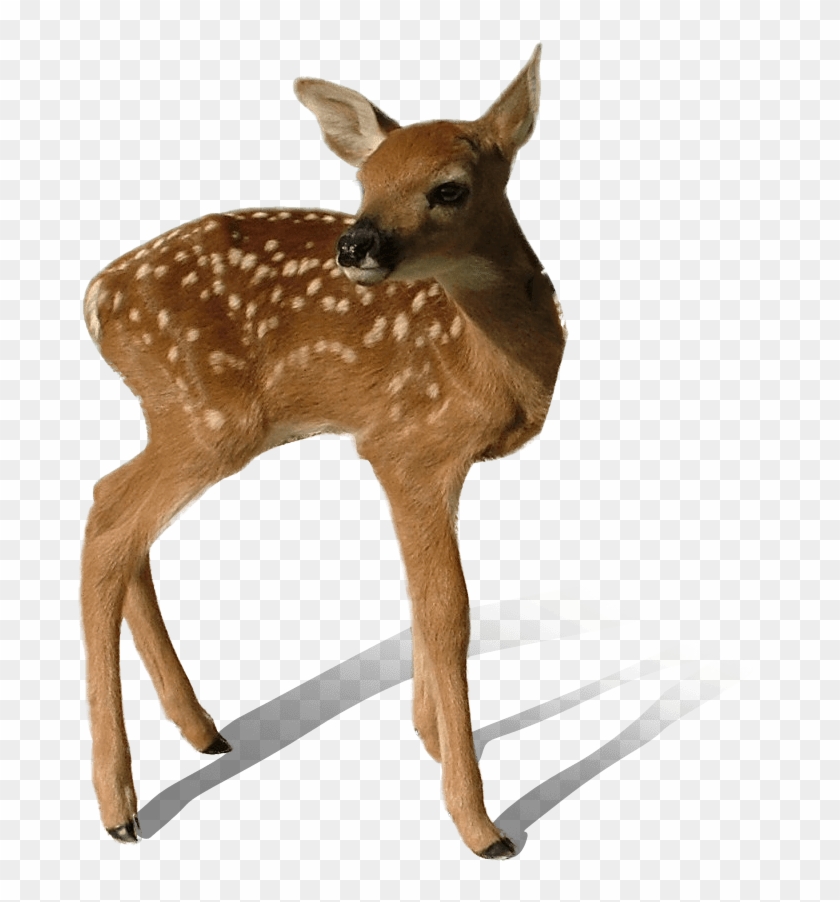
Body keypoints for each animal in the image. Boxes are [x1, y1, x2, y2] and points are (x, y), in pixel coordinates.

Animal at [80, 44, 566, 860]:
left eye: (448, 187)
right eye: (363, 184)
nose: (356, 244)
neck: (488, 357)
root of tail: (96, 298)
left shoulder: (422, 459)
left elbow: (423, 599)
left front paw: (428, 739)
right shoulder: (407, 446)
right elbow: (449, 611)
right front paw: (479, 824)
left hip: (180, 417)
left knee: (114, 510)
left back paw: (202, 732)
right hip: (210, 418)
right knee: (110, 522)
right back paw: (121, 807)